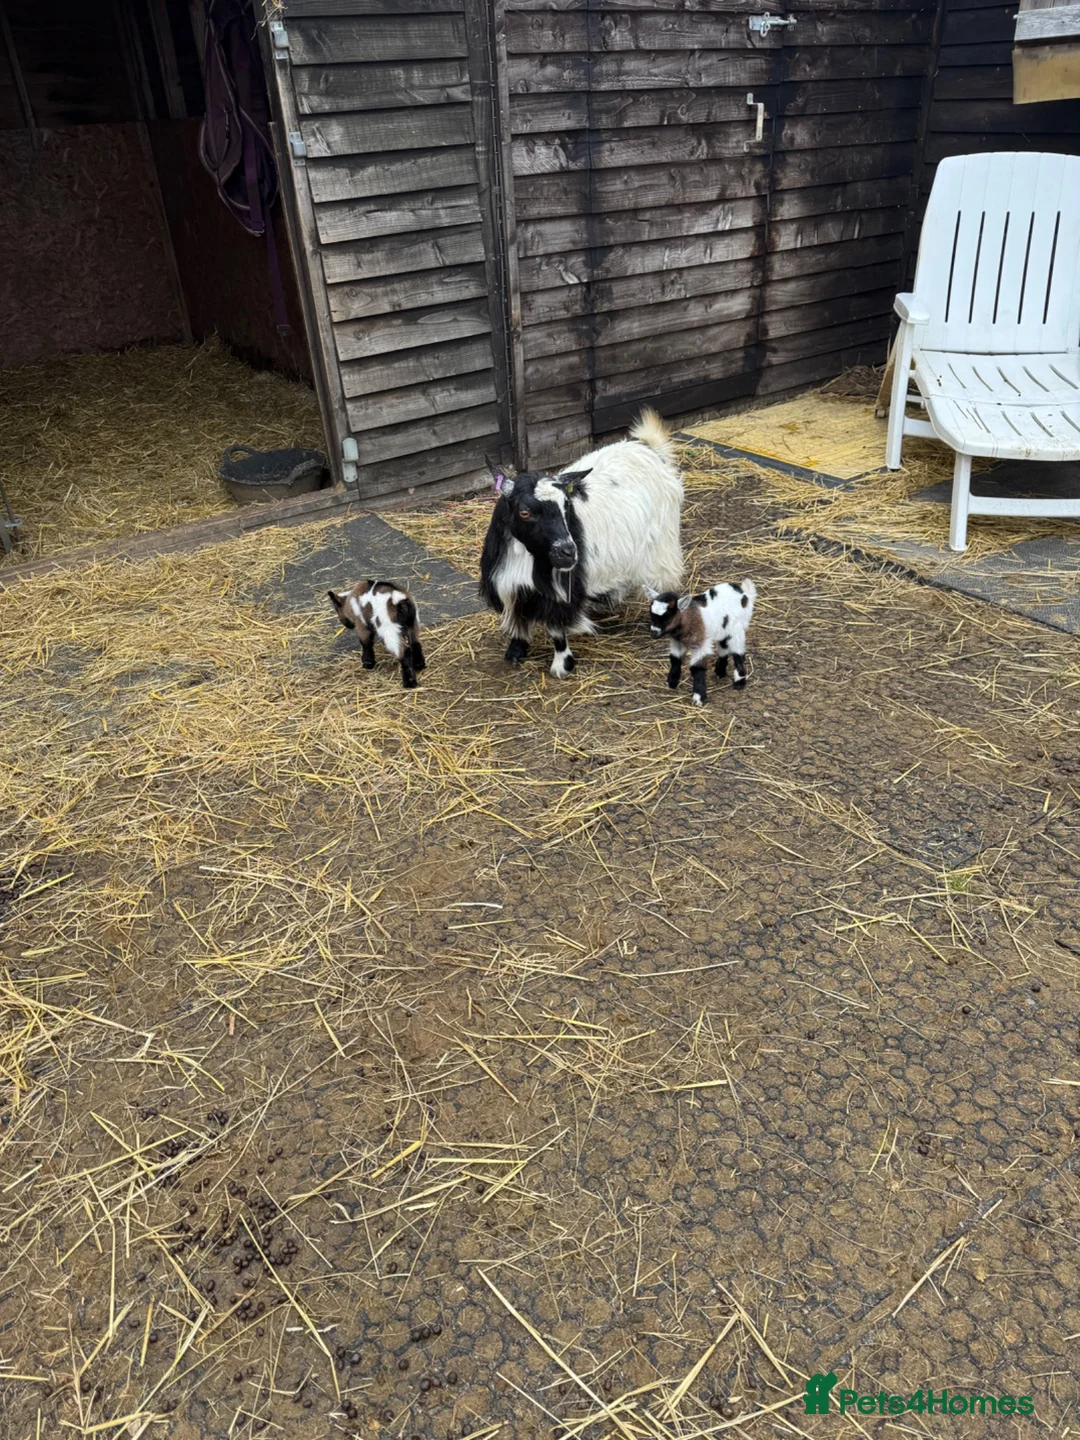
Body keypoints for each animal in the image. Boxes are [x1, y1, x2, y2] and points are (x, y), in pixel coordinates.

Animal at [479, 409, 683, 677]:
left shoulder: (562, 589)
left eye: (567, 505)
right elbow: (518, 620)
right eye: (525, 512)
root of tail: (648, 448)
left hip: (662, 543)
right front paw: (516, 651)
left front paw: (562, 665)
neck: (528, 556)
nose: (568, 552)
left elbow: (556, 628)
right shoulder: (511, 585)